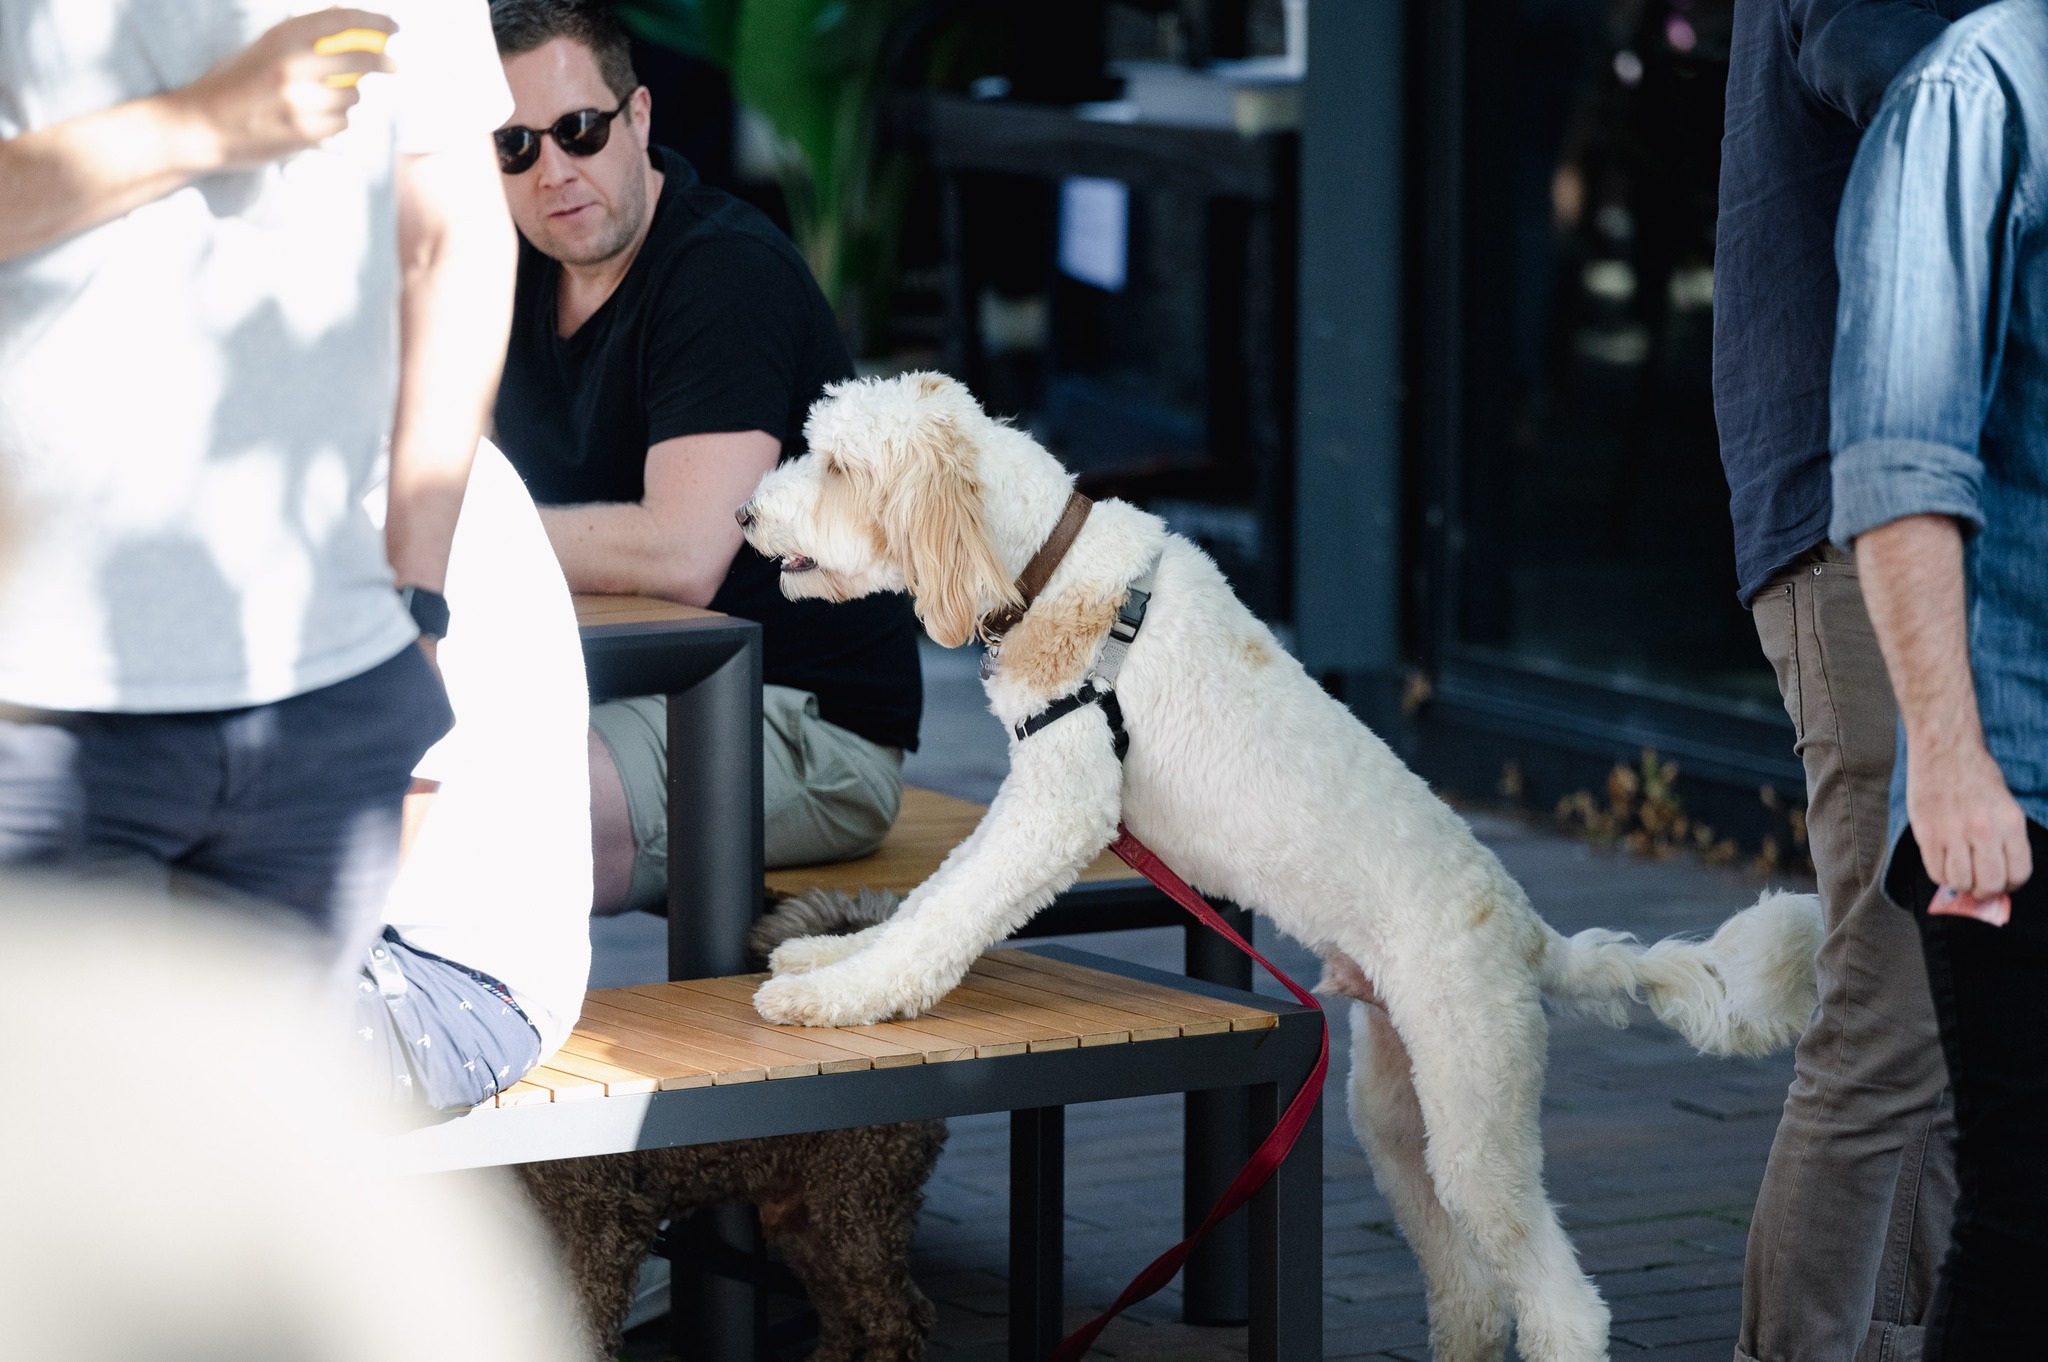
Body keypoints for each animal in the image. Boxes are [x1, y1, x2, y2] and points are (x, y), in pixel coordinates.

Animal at [520, 892, 950, 1359]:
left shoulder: (606, 1220)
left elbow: (585, 1323)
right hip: (807, 1223)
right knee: (843, 1311)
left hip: (857, 1204)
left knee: (898, 1318)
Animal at [737, 372, 1826, 1359]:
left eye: (836, 465)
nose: (747, 514)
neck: (1046, 566)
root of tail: (1530, 936)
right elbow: (931, 891)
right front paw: (830, 957)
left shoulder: (1058, 803)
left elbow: (948, 909)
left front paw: (839, 994)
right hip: (1397, 1112)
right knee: (1468, 1288)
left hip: (1478, 1114)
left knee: (1560, 1302)